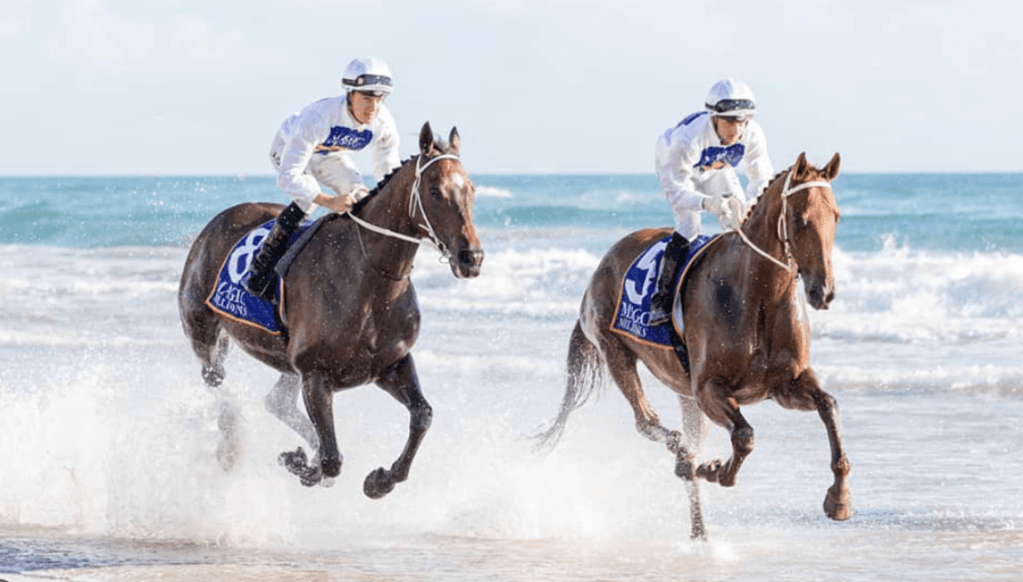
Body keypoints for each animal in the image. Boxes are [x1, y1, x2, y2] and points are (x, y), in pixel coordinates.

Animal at [177, 122, 483, 498]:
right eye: (435, 191)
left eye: (470, 189)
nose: (471, 258)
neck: (369, 280)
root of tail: (216, 224)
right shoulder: (315, 374)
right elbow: (331, 460)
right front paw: (303, 463)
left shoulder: (390, 364)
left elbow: (422, 415)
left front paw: (381, 480)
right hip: (203, 334)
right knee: (218, 383)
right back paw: (230, 443)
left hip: (284, 362)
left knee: (276, 401)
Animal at [536, 152, 850, 538]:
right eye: (799, 218)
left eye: (835, 215)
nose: (824, 292)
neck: (758, 295)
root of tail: (602, 265)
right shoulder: (710, 389)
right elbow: (744, 435)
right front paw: (715, 470)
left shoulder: (783, 384)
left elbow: (829, 406)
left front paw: (839, 499)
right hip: (616, 353)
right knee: (648, 422)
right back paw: (687, 462)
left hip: (683, 392)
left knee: (685, 438)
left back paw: (700, 528)